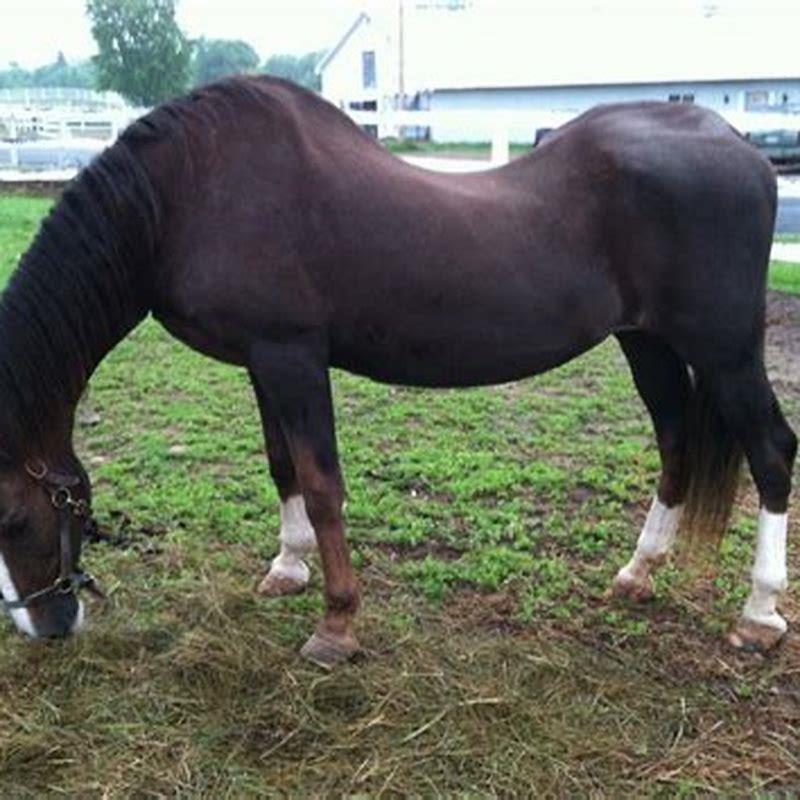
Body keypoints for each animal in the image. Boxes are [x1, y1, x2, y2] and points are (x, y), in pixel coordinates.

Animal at [0, 76, 795, 664]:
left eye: (12, 516)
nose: (44, 627)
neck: (187, 195)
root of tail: (741, 149)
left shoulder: (291, 354)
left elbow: (323, 485)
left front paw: (336, 626)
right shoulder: (261, 360)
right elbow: (282, 467)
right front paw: (287, 569)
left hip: (725, 351)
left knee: (771, 452)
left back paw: (758, 613)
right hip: (647, 343)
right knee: (676, 442)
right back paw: (638, 573)